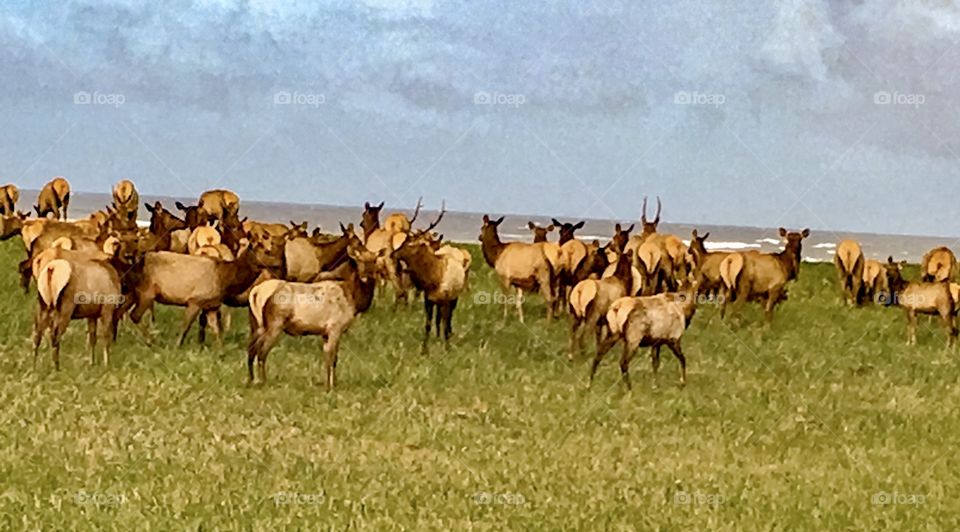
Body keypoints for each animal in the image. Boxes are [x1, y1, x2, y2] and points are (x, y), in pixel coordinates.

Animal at [247, 237, 378, 390]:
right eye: (359, 261)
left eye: (374, 261)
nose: (367, 276)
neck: (353, 300)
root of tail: (256, 293)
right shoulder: (335, 327)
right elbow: (331, 358)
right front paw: (329, 387)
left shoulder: (326, 332)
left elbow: (332, 358)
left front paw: (333, 383)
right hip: (275, 324)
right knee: (261, 352)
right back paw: (263, 381)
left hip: (256, 325)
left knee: (251, 349)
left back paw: (251, 380)